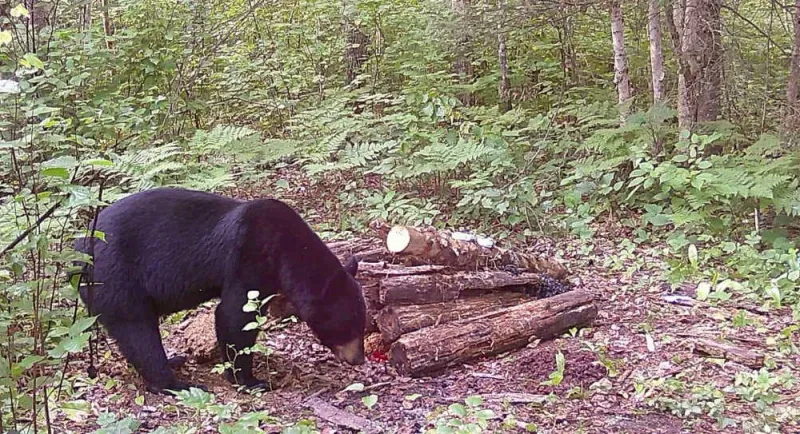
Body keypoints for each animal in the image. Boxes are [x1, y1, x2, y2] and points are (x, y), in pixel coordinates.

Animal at [71, 187, 367, 394]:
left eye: (362, 324)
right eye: (350, 325)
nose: (359, 359)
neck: (289, 250)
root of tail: (76, 253)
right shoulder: (250, 255)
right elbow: (235, 316)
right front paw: (250, 380)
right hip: (115, 278)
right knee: (137, 331)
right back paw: (174, 383)